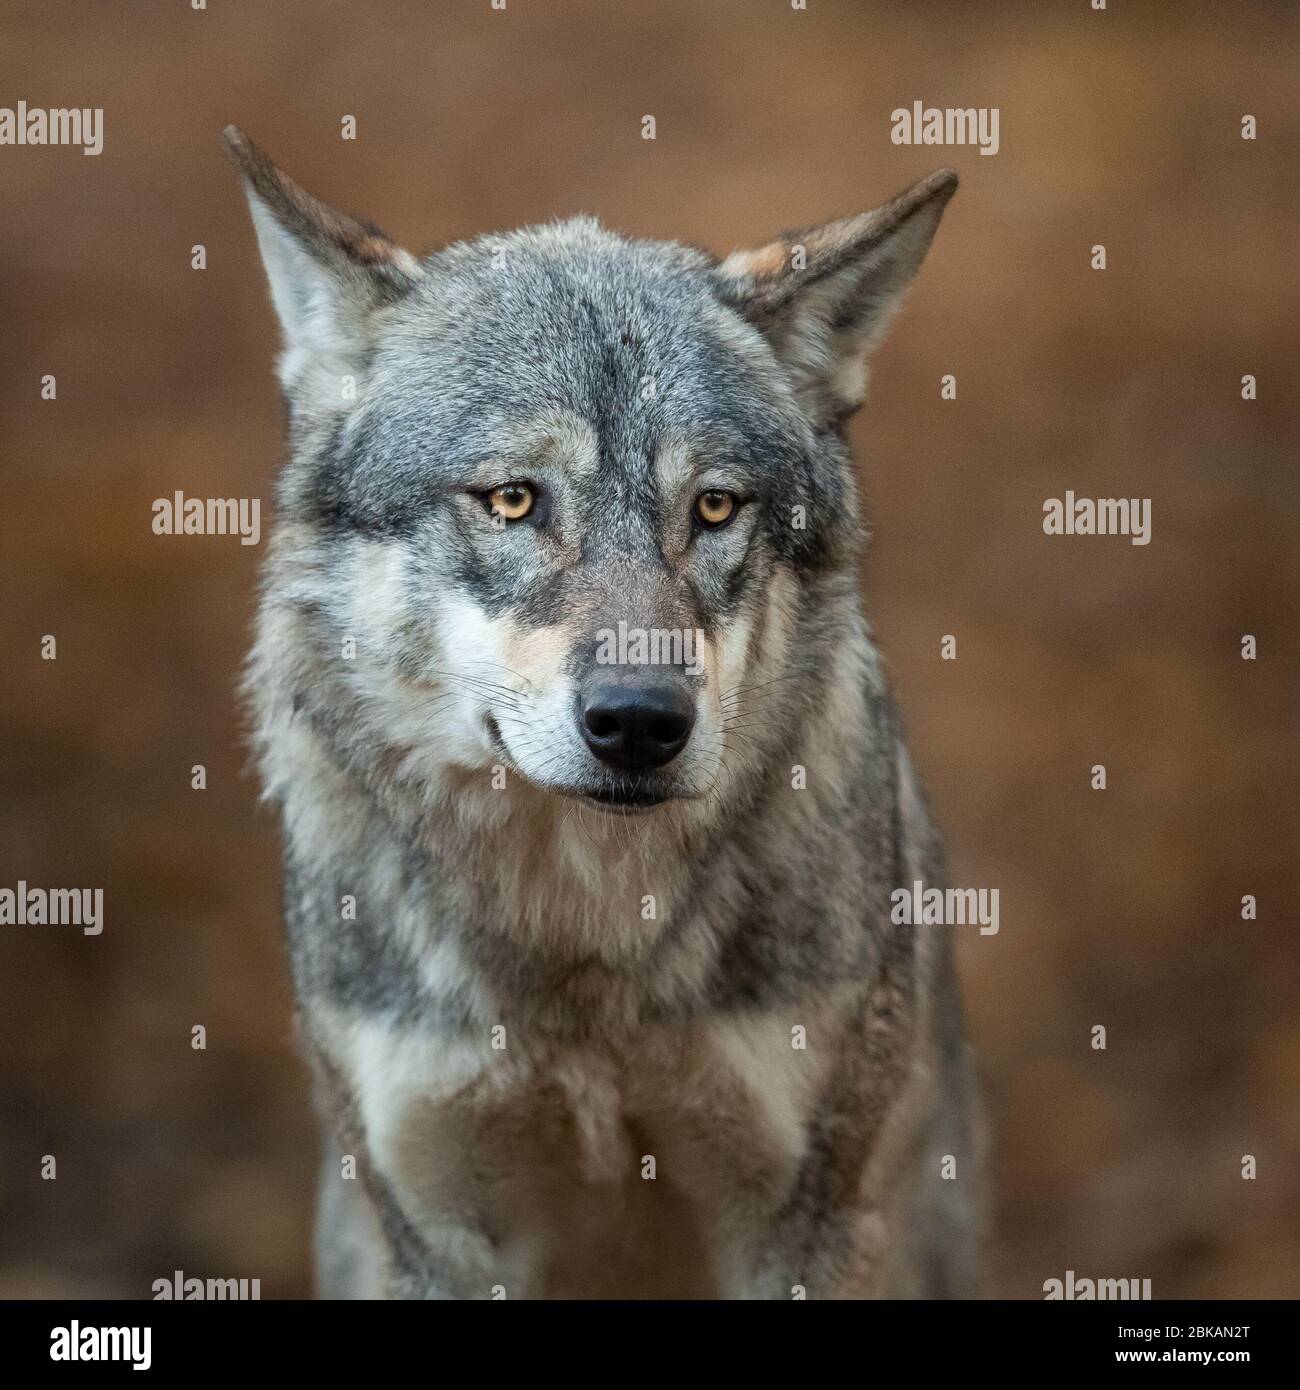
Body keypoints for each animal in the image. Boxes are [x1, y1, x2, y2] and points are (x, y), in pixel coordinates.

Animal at [226, 125, 984, 1299]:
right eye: (513, 500)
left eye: (712, 507)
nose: (639, 721)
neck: (582, 956)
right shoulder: (434, 1235)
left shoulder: (805, 1225)